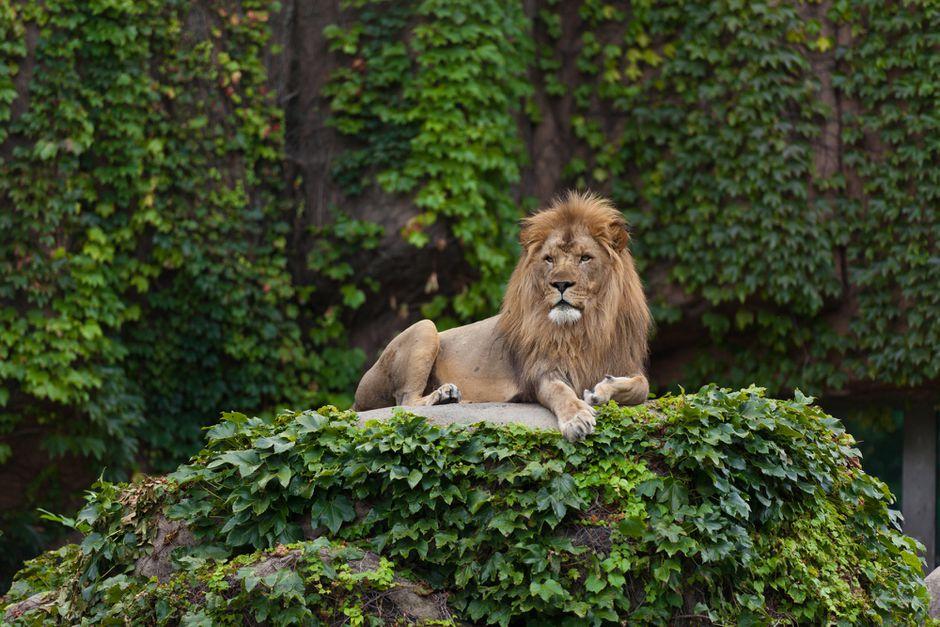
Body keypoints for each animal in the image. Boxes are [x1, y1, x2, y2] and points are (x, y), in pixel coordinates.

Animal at [348, 191, 648, 442]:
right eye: (549, 259)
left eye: (585, 258)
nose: (560, 284)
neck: (583, 328)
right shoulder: (539, 372)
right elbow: (561, 392)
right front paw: (576, 418)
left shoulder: (624, 362)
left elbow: (641, 386)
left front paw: (601, 391)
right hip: (425, 327)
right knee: (405, 402)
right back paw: (446, 396)